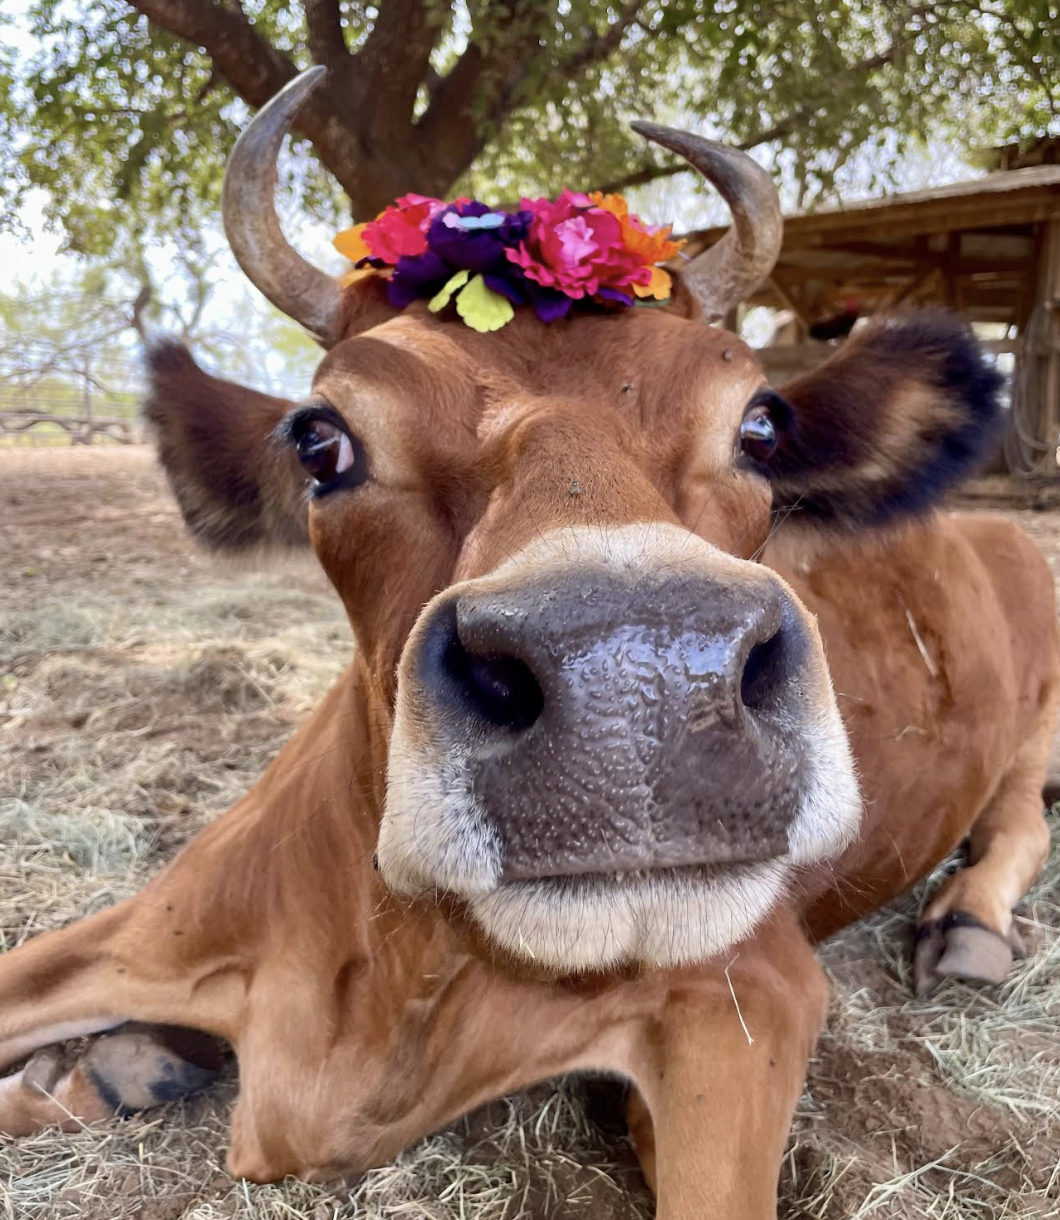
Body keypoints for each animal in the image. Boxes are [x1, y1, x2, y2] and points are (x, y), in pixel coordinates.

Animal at [1, 68, 1057, 1220]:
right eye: (320, 440)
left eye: (760, 425)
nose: (638, 682)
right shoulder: (147, 922)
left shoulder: (754, 991)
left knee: (1018, 811)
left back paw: (970, 925)